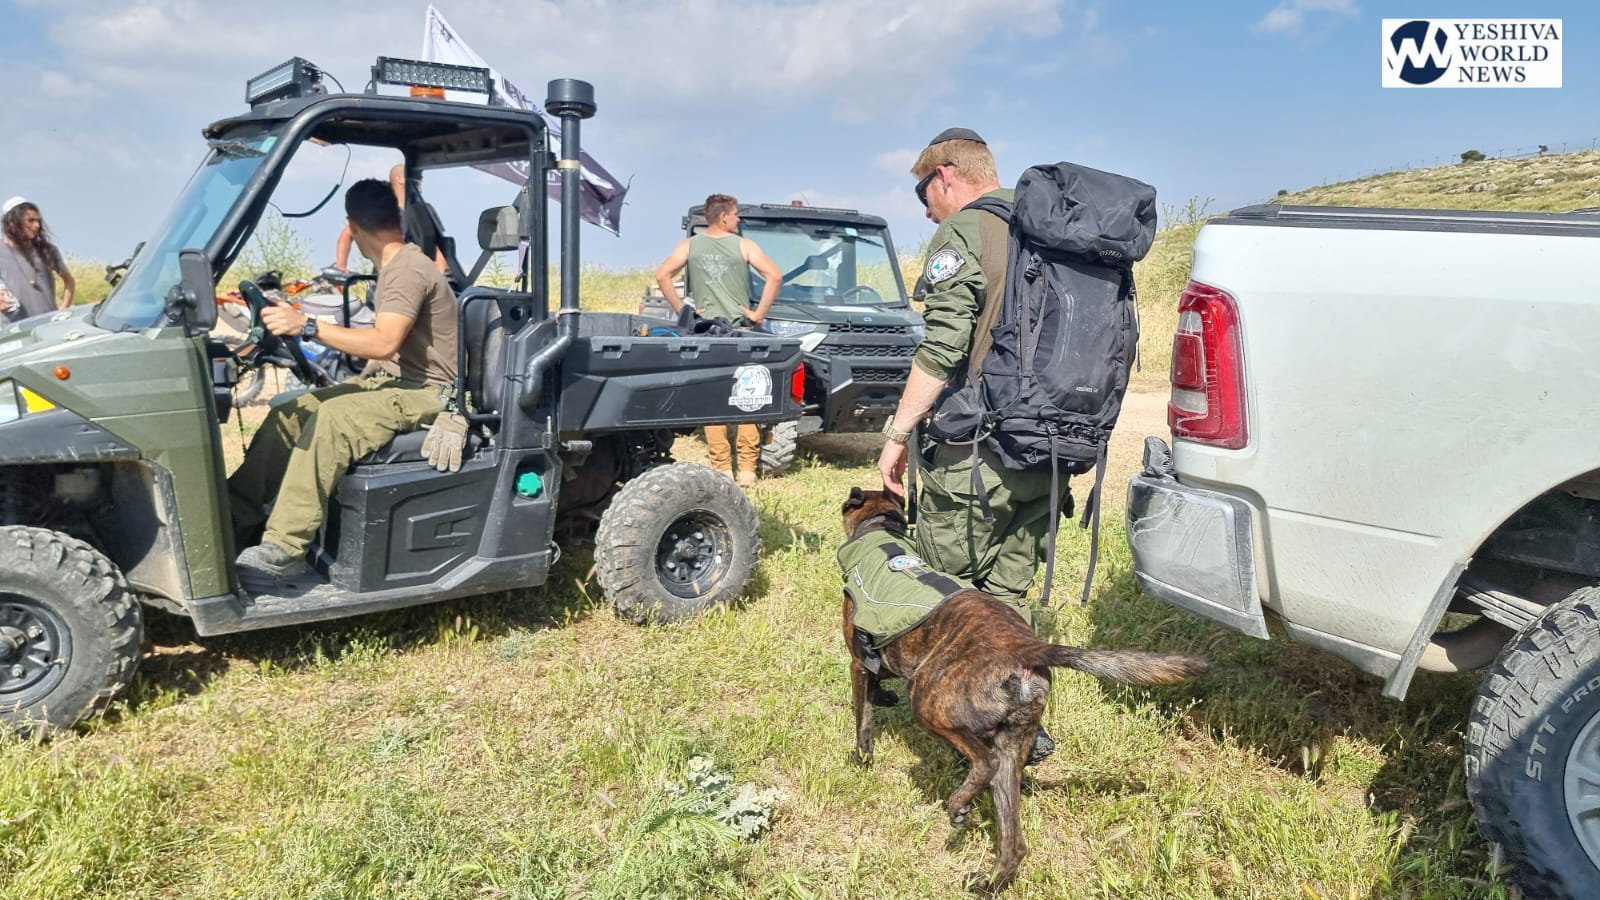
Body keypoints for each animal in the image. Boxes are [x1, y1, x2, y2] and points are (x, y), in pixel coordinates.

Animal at [840, 487, 1208, 894]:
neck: (878, 531)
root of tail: (1024, 647)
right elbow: (877, 689)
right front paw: (883, 699)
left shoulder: (858, 663)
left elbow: (863, 715)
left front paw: (861, 757)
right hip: (1012, 748)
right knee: (1015, 840)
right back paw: (991, 880)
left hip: (930, 702)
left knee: (984, 761)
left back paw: (959, 805)